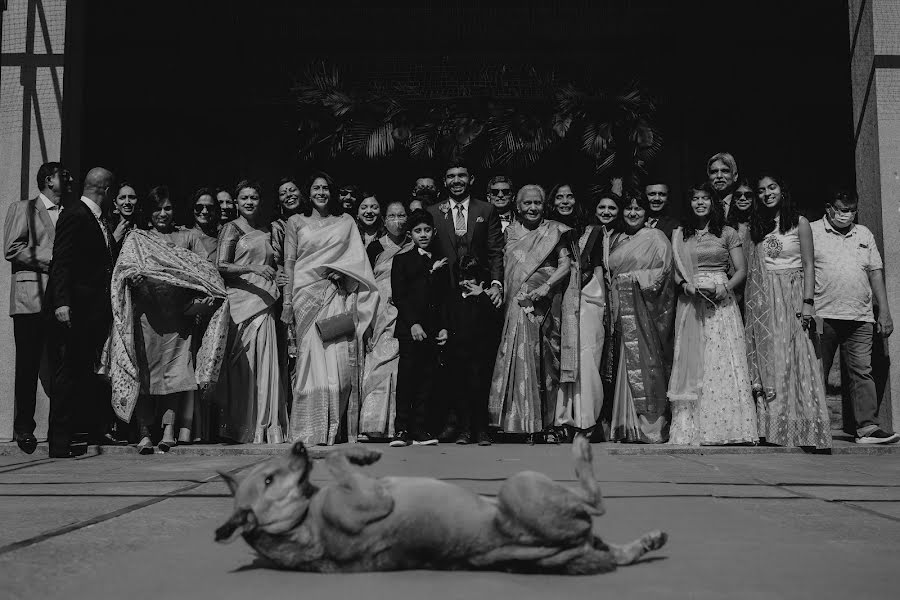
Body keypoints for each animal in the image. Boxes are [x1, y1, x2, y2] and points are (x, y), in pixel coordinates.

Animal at [216, 438, 668, 576]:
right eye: (268, 480)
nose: (297, 445)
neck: (298, 523)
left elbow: (337, 457)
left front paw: (359, 451)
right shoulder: (371, 500)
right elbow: (336, 461)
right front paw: (355, 454)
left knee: (615, 548)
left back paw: (649, 540)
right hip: (519, 485)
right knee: (596, 503)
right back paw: (581, 448)